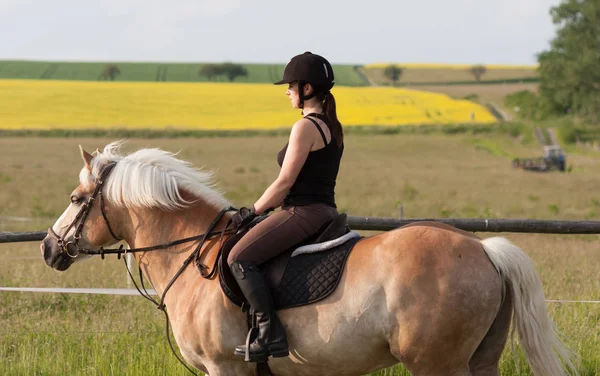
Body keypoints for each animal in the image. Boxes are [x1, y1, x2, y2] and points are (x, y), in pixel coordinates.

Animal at [41, 142, 576, 376]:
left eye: (75, 198)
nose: (49, 247)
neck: (191, 254)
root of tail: (483, 248)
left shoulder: (225, 369)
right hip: (479, 360)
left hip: (436, 365)